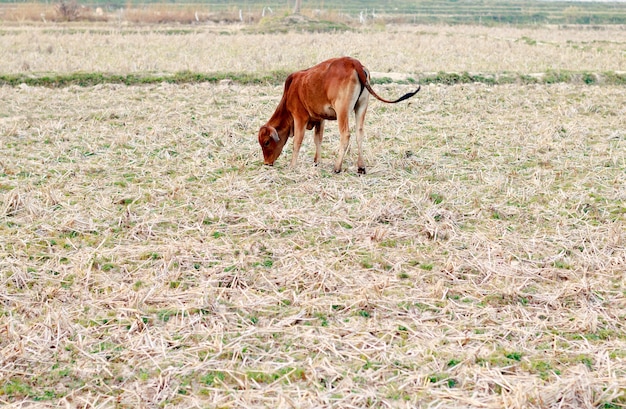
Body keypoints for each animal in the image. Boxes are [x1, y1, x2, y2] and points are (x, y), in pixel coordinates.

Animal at [256, 56, 416, 174]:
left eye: (266, 142)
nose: (267, 163)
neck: (291, 90)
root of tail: (354, 62)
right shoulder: (320, 119)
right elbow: (318, 140)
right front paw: (317, 162)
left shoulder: (300, 117)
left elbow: (297, 142)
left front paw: (292, 166)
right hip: (361, 106)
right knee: (359, 134)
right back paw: (361, 167)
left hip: (342, 110)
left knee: (345, 135)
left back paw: (337, 167)